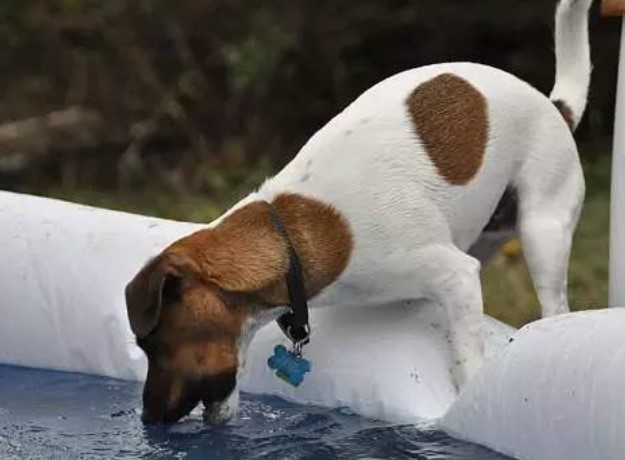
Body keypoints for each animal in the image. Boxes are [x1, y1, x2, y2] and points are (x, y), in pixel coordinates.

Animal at [124, 0, 592, 424]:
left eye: (155, 345)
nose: (147, 417)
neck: (292, 238)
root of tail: (552, 105)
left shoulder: (455, 275)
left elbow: (467, 361)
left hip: (542, 231)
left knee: (554, 304)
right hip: (486, 236)